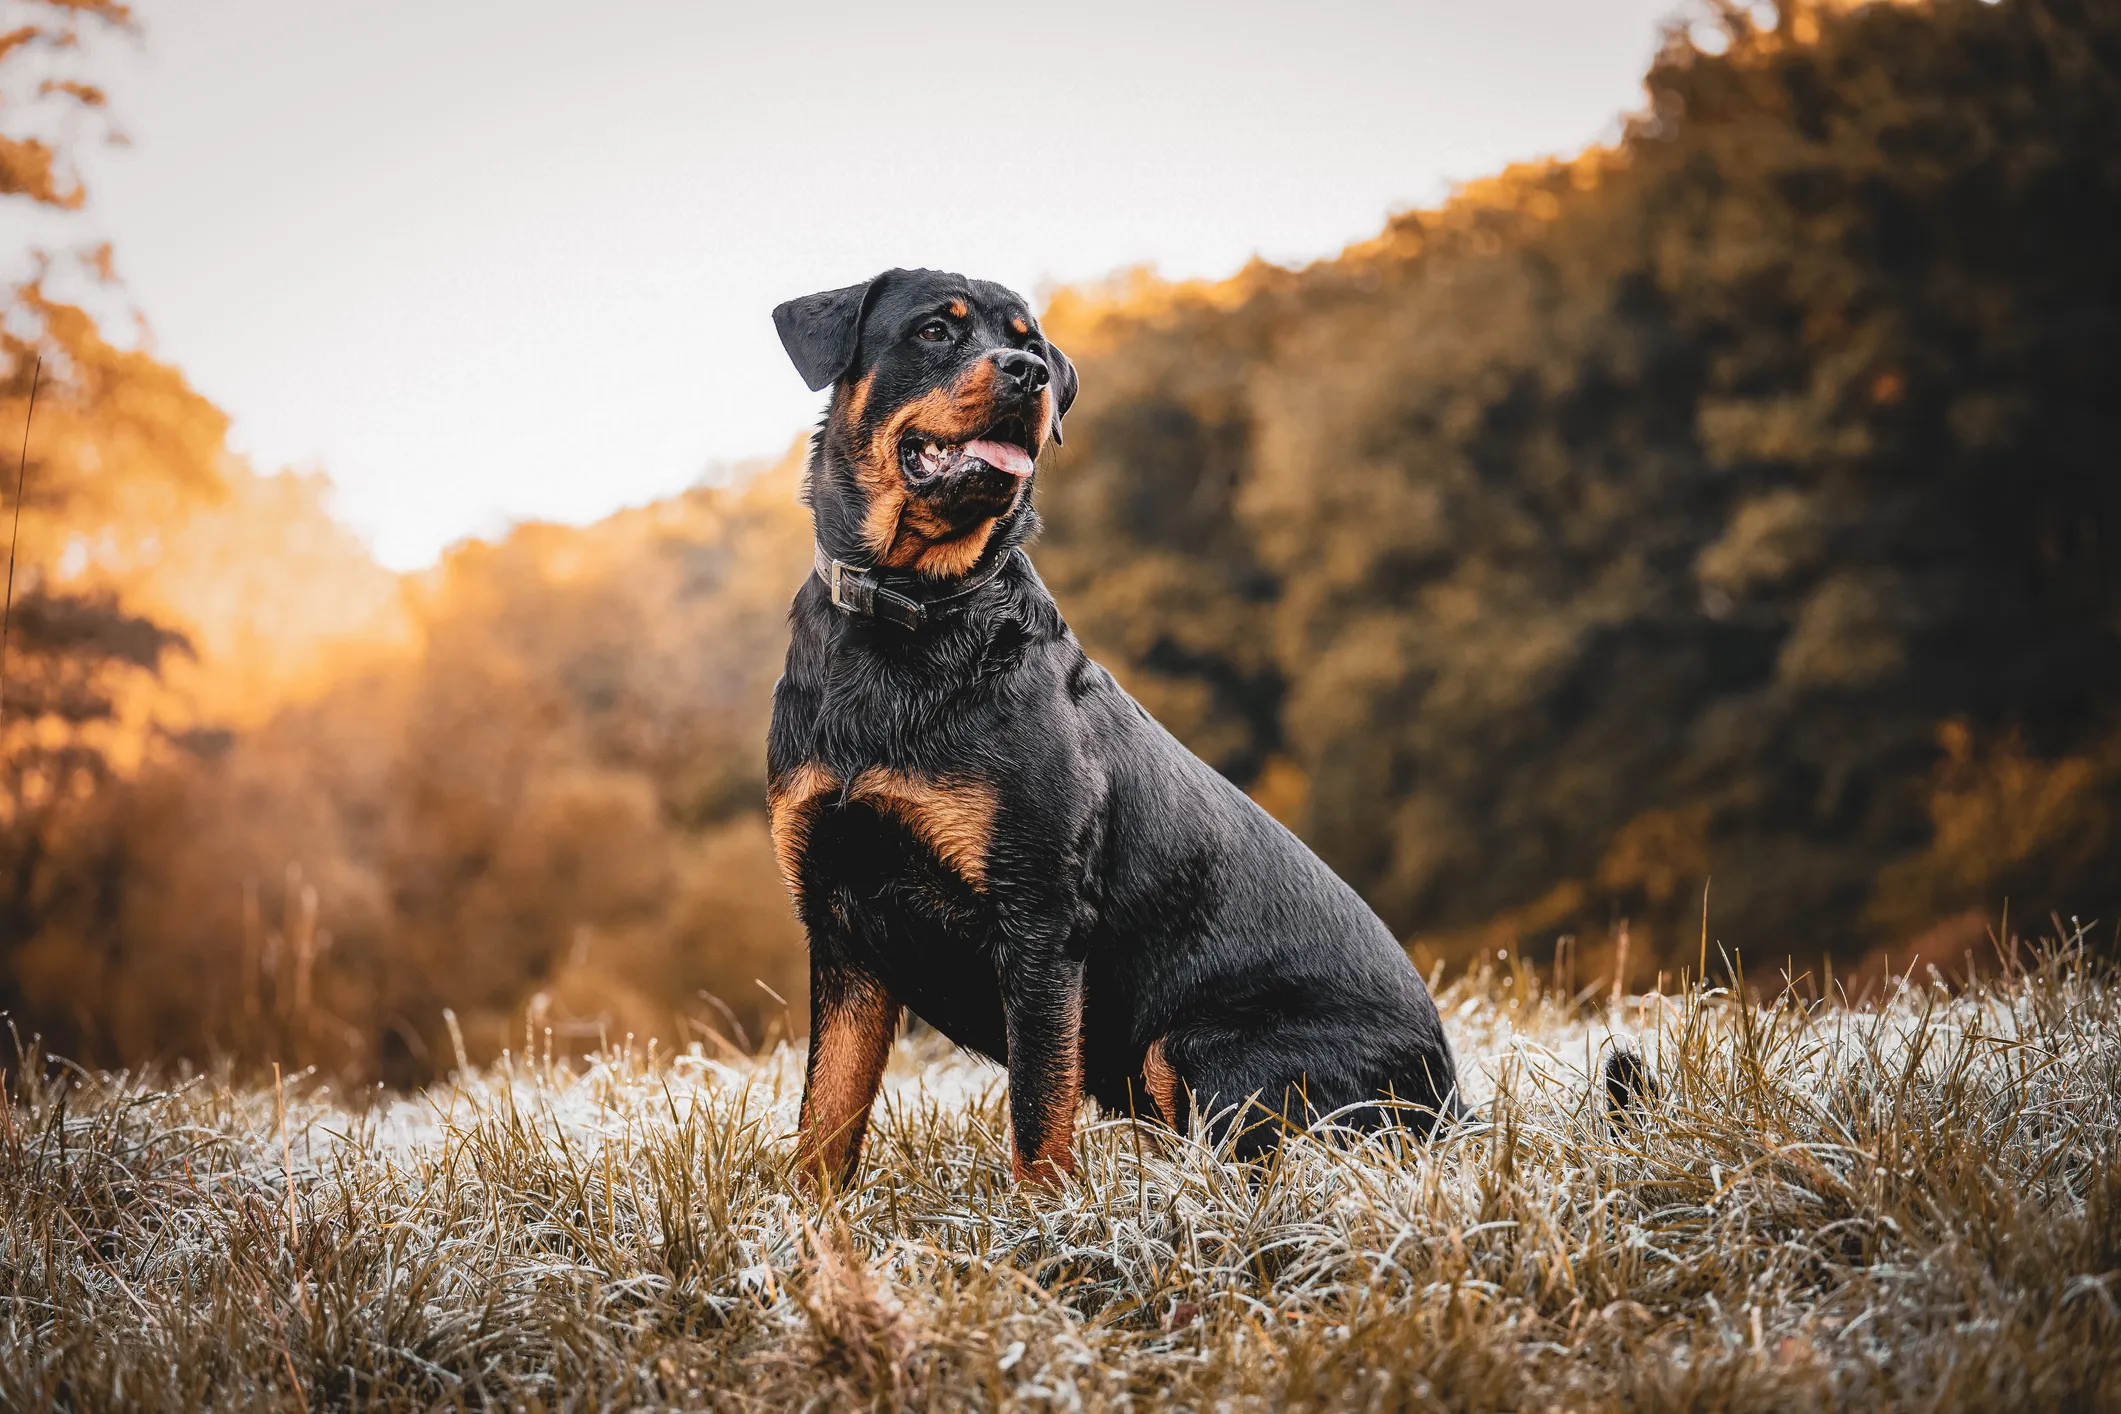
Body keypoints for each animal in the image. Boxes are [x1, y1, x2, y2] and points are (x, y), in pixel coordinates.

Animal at [772, 271, 1467, 1187]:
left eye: (1029, 341)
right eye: (933, 331)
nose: (1029, 373)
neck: (911, 612)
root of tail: (1453, 1105)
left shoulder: (1037, 921)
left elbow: (1037, 1116)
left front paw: (1042, 1224)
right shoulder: (839, 923)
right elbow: (826, 1115)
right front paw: (806, 1221)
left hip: (1196, 1047)